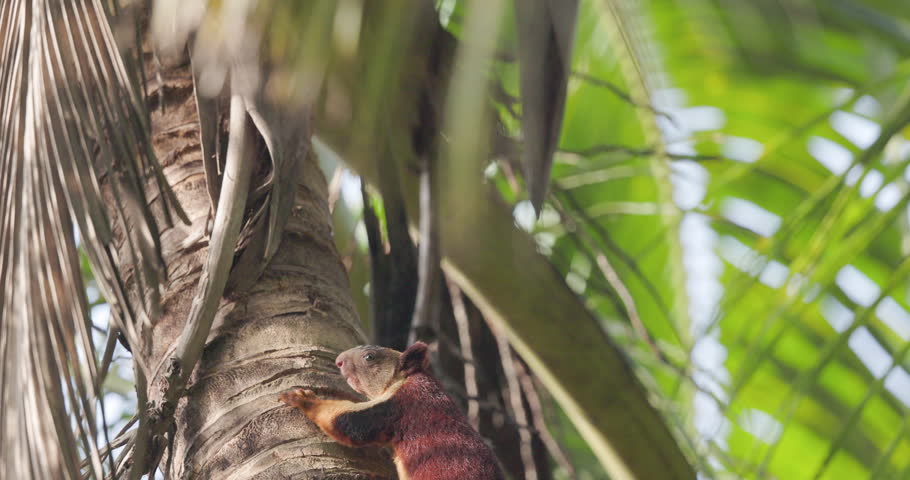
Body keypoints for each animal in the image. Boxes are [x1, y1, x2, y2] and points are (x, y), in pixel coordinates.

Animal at [279, 342, 504, 480]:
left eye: (369, 357)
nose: (338, 360)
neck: (408, 379)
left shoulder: (399, 406)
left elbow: (349, 424)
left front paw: (304, 399)